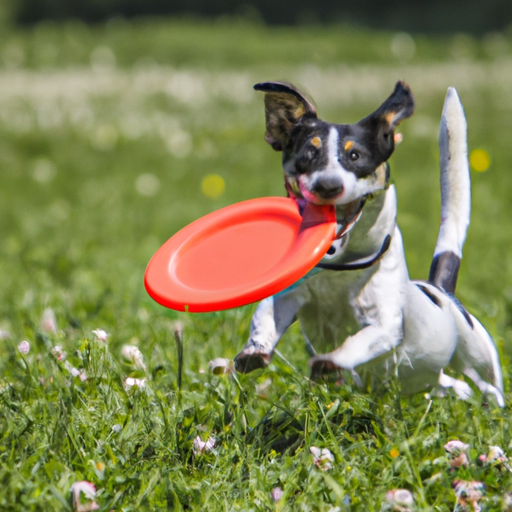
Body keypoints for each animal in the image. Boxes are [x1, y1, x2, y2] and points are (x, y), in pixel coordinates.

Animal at [233, 82, 504, 406]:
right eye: (309, 152)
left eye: (355, 155)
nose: (328, 185)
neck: (341, 268)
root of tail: (441, 292)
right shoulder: (290, 296)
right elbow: (266, 315)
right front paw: (254, 350)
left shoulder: (385, 324)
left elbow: (360, 340)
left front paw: (331, 360)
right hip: (432, 381)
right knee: (452, 385)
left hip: (477, 356)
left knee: (487, 385)